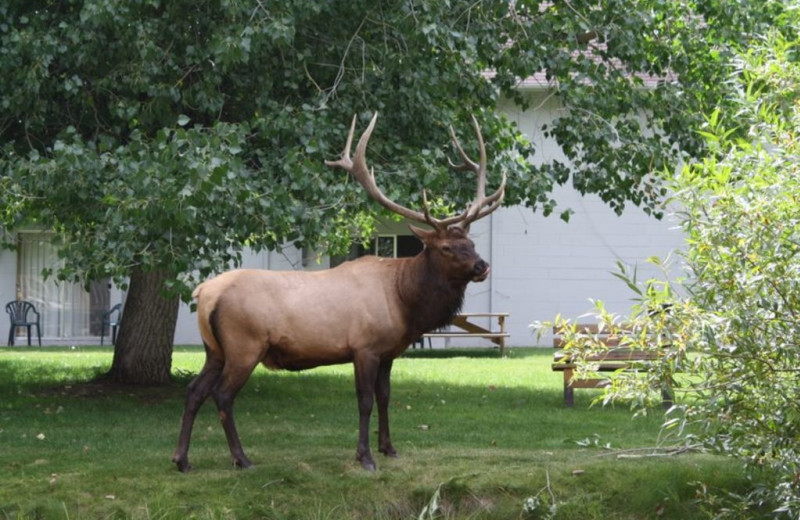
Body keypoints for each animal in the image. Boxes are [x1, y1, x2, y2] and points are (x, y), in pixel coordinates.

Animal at [172, 112, 506, 472]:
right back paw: (241, 458)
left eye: (470, 243)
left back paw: (182, 459)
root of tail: (204, 292)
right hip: (244, 344)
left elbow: (386, 397)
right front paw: (365, 457)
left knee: (194, 390)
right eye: (446, 247)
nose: (483, 266)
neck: (404, 301)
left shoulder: (389, 352)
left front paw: (389, 448)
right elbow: (365, 401)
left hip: (214, 349)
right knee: (222, 394)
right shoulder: (364, 347)